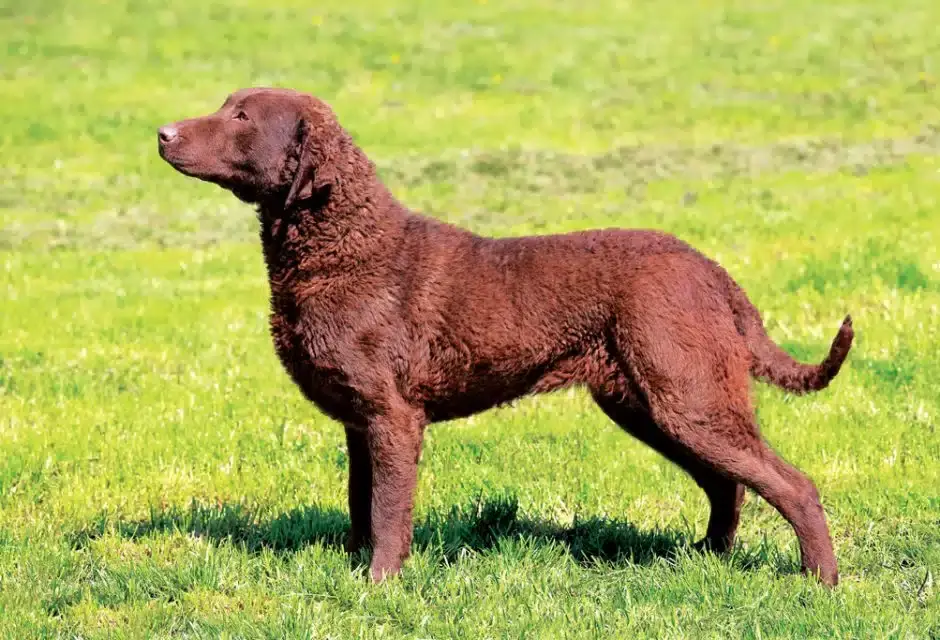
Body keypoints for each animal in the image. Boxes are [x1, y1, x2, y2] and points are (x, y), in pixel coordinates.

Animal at [160, 89, 852, 584]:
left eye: (241, 116)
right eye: (225, 104)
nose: (162, 133)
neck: (346, 247)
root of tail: (713, 271)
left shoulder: (393, 416)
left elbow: (388, 511)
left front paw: (380, 584)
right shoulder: (359, 420)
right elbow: (360, 503)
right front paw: (352, 568)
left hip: (688, 396)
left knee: (791, 485)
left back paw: (819, 582)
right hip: (649, 403)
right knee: (727, 483)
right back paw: (707, 559)